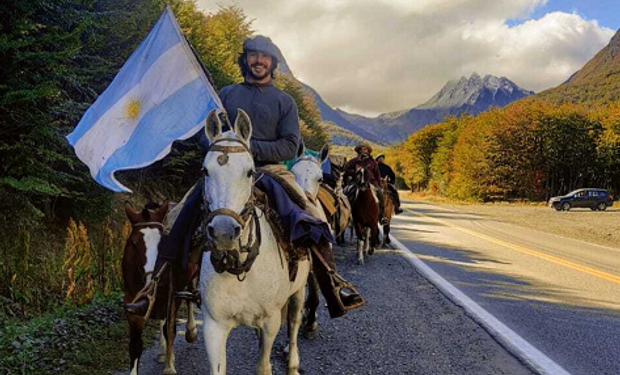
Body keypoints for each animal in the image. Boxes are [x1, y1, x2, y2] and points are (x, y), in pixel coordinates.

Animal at [122, 203, 197, 375]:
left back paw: (190, 331)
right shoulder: (131, 301)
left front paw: (170, 367)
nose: (154, 278)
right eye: (133, 243)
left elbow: (170, 331)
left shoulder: (173, 297)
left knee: (190, 296)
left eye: (164, 243)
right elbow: (135, 344)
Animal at [201, 108, 312, 375]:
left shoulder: (270, 322)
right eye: (205, 171)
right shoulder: (213, 326)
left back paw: (293, 362)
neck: (239, 266)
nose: (223, 232)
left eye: (250, 171)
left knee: (294, 322)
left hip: (299, 290)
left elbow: (263, 365)